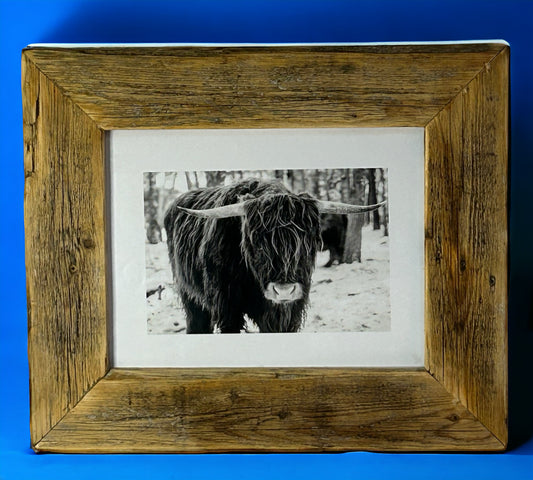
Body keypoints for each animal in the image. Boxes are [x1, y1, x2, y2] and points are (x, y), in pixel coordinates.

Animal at [163, 177, 382, 334]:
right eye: (257, 243)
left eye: (308, 241)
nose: (284, 291)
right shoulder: (228, 309)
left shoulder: (289, 312)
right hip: (189, 292)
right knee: (197, 323)